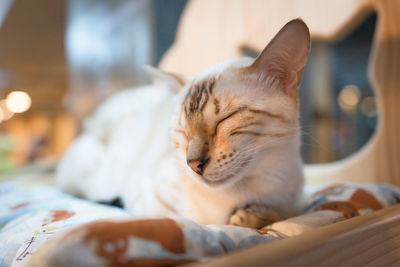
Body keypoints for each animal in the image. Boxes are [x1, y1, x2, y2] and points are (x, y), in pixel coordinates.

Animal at [56, 18, 310, 229]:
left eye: (225, 119)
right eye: (182, 131)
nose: (194, 164)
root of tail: (92, 119)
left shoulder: (295, 199)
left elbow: (284, 212)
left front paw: (250, 216)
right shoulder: (147, 203)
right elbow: (181, 221)